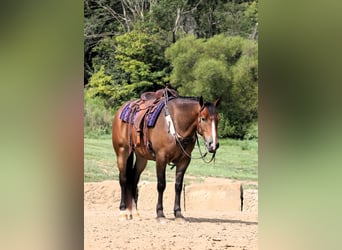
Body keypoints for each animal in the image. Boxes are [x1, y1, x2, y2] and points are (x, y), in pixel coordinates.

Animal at [111, 88, 220, 223]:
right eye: (203, 118)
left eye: (218, 119)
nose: (213, 144)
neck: (175, 123)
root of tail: (121, 109)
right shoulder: (161, 159)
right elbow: (161, 185)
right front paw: (160, 214)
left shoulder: (184, 160)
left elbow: (178, 186)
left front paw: (178, 214)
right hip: (122, 152)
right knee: (123, 179)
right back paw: (123, 212)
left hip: (141, 158)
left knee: (133, 180)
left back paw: (135, 213)